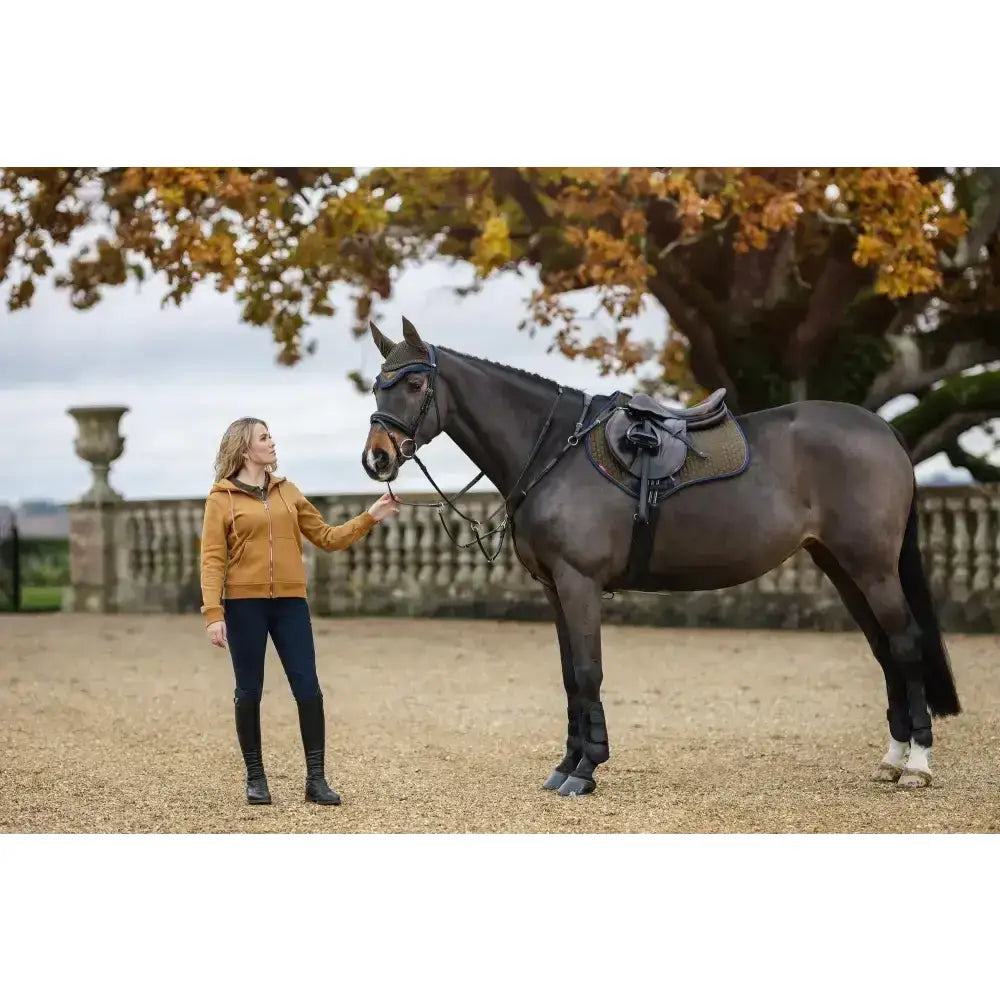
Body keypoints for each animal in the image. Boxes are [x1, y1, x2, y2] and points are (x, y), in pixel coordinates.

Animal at [361, 317, 960, 797]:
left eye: (414, 382)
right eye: (375, 385)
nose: (377, 459)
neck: (554, 451)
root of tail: (881, 430)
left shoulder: (579, 583)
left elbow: (588, 671)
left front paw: (586, 770)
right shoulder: (555, 589)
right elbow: (568, 676)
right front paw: (566, 765)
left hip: (873, 569)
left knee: (905, 645)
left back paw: (917, 766)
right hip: (842, 568)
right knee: (884, 651)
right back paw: (892, 760)